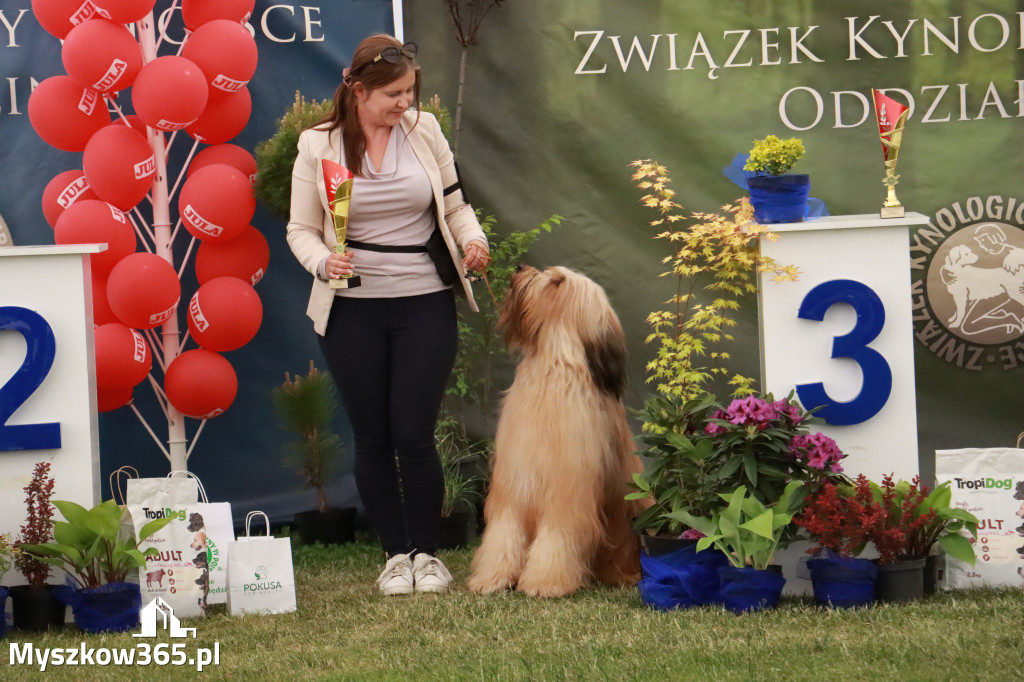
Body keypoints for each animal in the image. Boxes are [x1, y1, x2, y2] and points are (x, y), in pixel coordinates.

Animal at [466, 264, 643, 593]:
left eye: (557, 281)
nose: (520, 267)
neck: (549, 373)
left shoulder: (566, 494)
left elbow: (557, 538)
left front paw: (545, 581)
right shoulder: (513, 485)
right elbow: (503, 534)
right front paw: (493, 577)